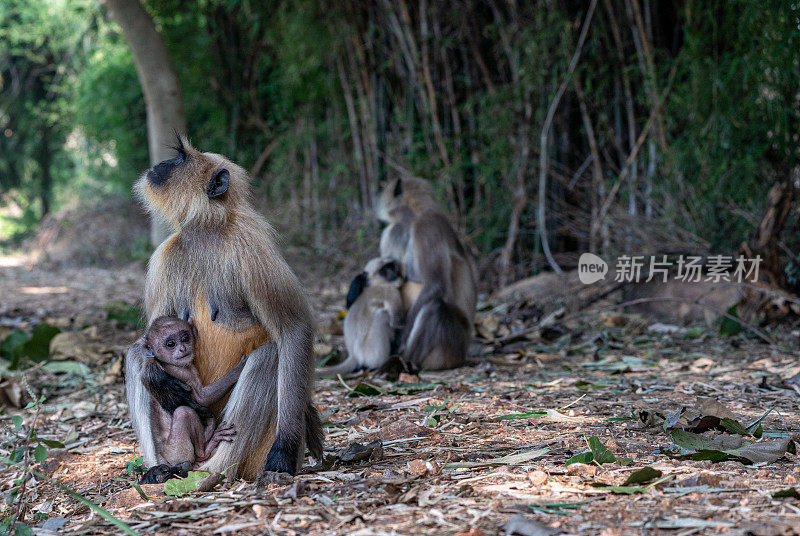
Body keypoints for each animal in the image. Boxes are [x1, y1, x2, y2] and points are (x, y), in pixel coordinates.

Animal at [139, 316, 244, 484]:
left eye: (185, 338)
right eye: (171, 344)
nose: (183, 349)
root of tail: (161, 459)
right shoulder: (183, 371)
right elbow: (202, 399)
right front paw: (237, 370)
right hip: (175, 453)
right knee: (184, 412)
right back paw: (207, 446)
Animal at [376, 178, 476, 370]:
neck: (413, 218)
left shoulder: (427, 227)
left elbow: (436, 284)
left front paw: (400, 338)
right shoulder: (391, 231)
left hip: (450, 348)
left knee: (434, 307)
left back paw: (405, 362)